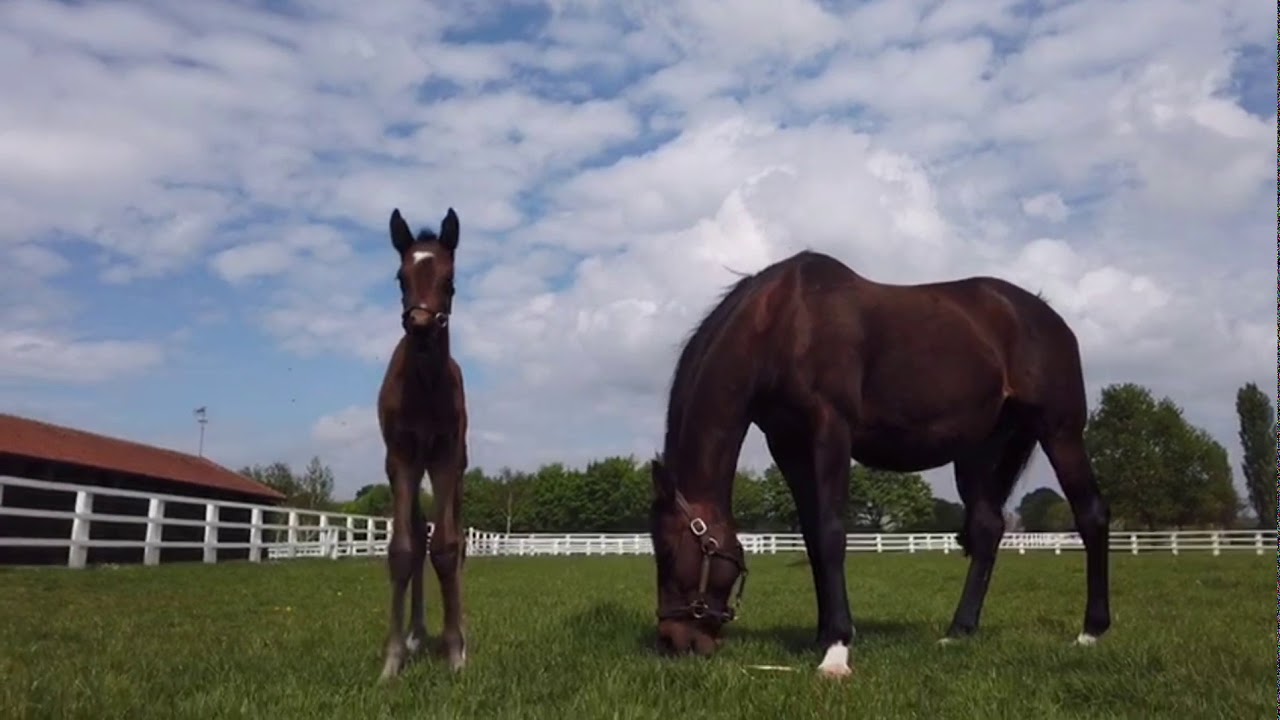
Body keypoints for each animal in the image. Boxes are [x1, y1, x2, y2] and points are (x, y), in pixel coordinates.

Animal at [648, 249, 1111, 678]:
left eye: (668, 552)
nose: (673, 641)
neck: (783, 322)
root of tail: (1047, 316)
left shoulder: (831, 428)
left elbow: (831, 534)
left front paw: (837, 651)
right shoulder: (789, 444)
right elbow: (812, 537)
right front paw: (823, 634)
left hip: (1060, 432)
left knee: (1091, 515)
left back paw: (1091, 631)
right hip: (980, 452)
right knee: (987, 529)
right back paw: (959, 631)